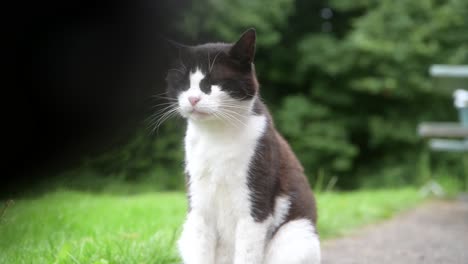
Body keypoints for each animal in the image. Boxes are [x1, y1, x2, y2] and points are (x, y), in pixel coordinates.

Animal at [165, 28, 322, 264]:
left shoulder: (254, 205)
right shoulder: (199, 208)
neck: (217, 136)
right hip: (187, 233)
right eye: (183, 84)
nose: (192, 99)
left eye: (211, 82)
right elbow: (201, 252)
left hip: (297, 236)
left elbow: (248, 253)